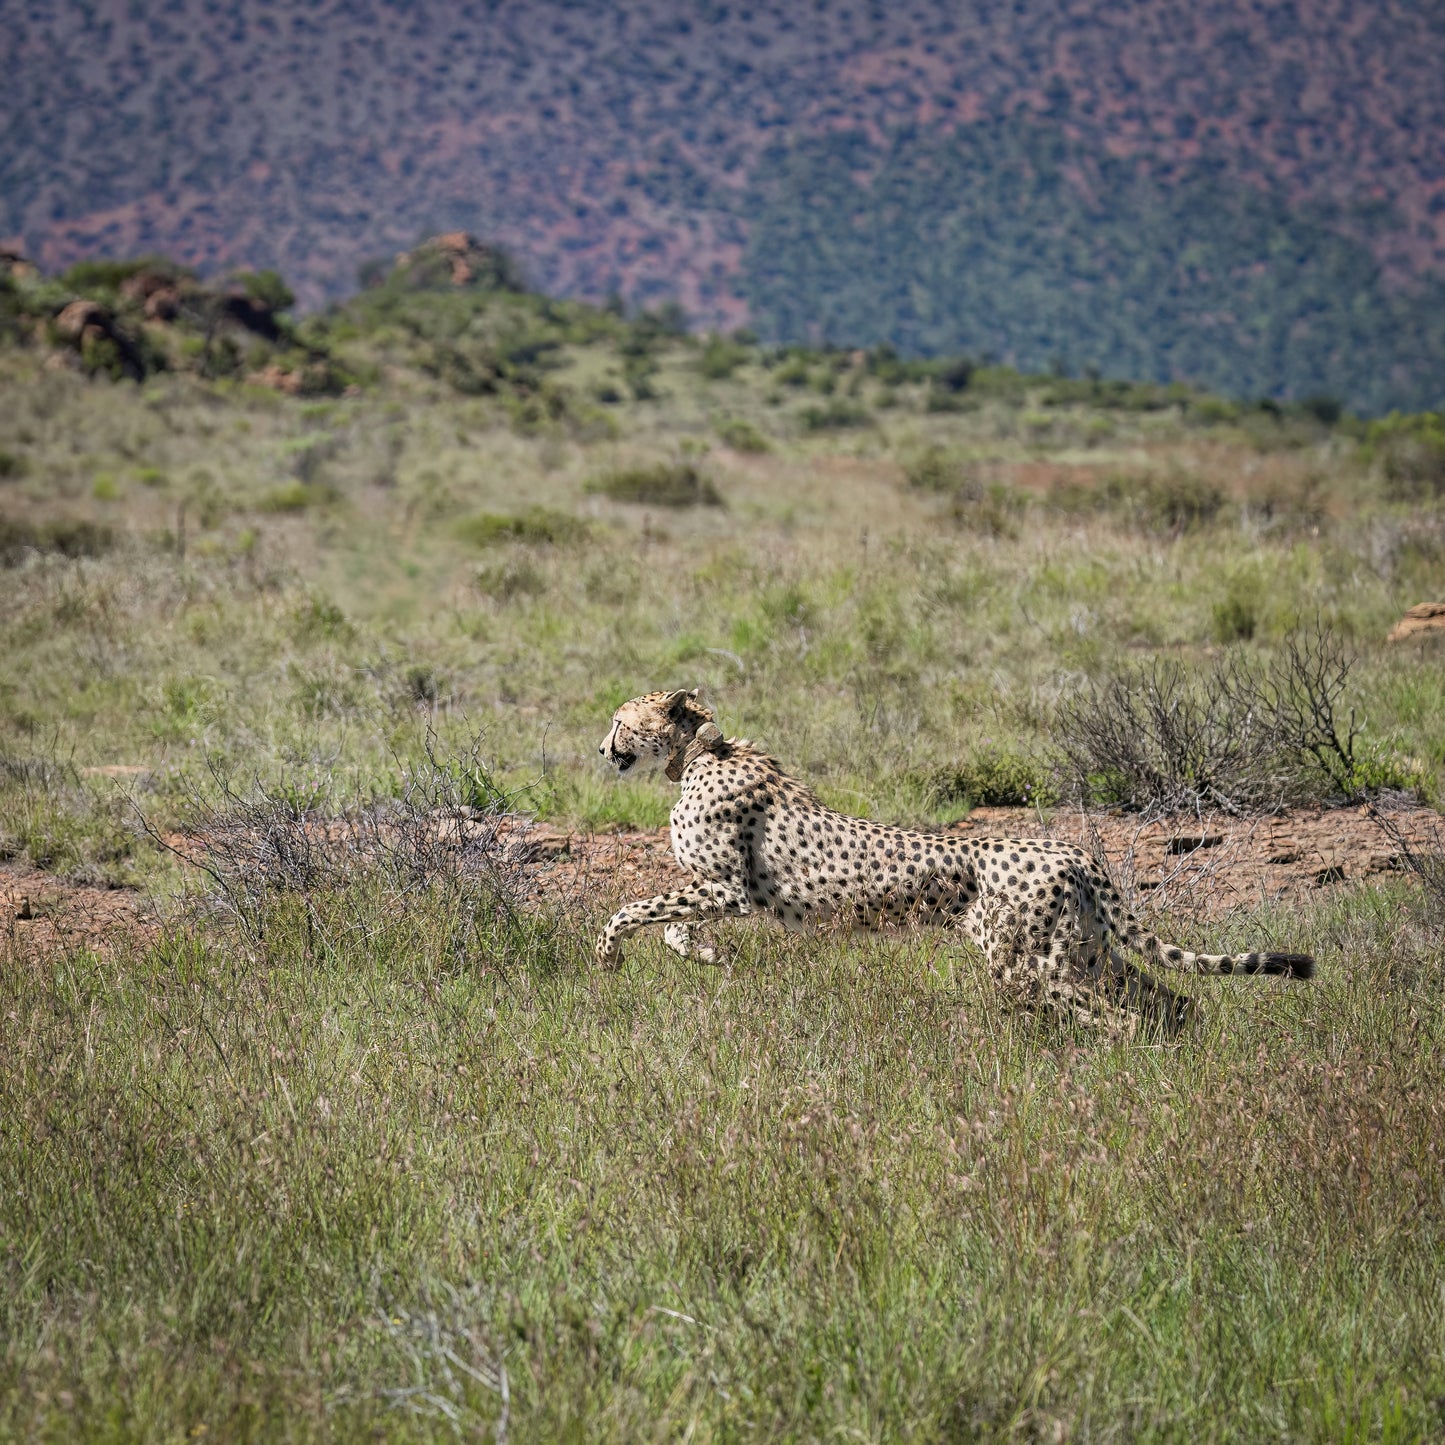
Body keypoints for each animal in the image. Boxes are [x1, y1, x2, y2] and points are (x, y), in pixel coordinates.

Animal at [595, 690, 1315, 1036]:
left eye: (619, 720)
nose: (601, 749)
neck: (698, 754)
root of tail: (1071, 849)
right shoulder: (724, 892)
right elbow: (669, 923)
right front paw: (705, 953)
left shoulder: (730, 889)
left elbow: (632, 908)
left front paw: (608, 958)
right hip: (1082, 951)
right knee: (1171, 1000)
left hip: (1025, 963)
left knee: (1116, 1018)